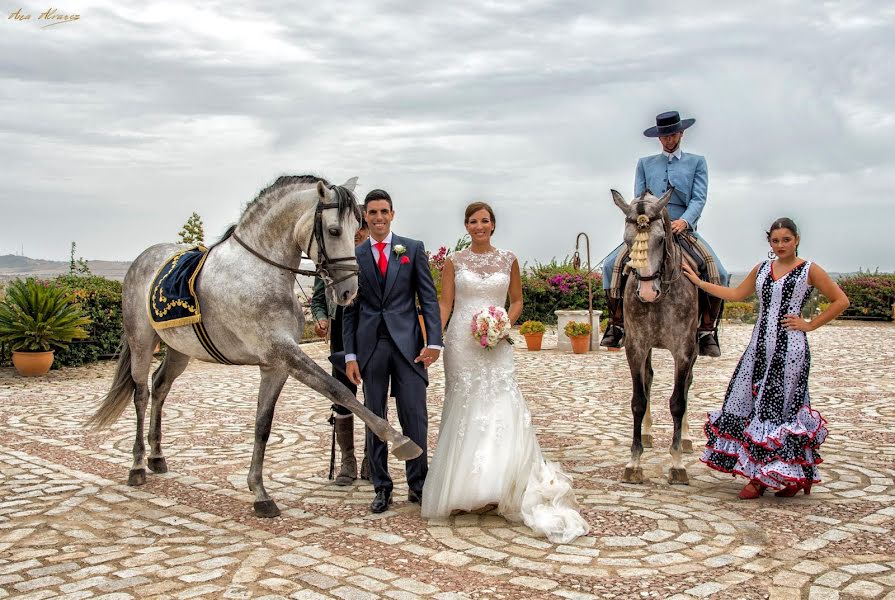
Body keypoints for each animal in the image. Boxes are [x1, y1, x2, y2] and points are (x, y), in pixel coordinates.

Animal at [90, 173, 424, 516]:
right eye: (334, 230)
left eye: (359, 224)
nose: (349, 293)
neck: (261, 271)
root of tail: (143, 258)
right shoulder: (284, 353)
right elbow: (338, 390)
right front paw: (402, 442)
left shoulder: (275, 365)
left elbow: (263, 424)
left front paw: (260, 492)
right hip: (142, 342)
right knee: (141, 394)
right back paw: (137, 467)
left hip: (179, 350)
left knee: (159, 388)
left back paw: (157, 458)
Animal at [616, 190, 700, 486]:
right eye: (626, 240)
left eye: (661, 239)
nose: (647, 293)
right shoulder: (636, 347)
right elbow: (638, 401)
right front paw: (634, 462)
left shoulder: (684, 350)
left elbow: (677, 402)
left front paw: (676, 463)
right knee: (650, 378)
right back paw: (649, 434)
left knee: (686, 386)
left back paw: (685, 439)